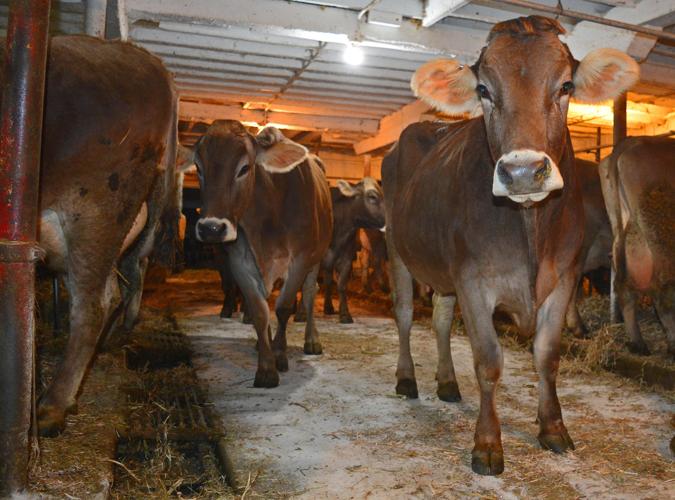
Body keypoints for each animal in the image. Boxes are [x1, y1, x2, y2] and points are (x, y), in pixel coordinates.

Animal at [193, 121, 333, 387]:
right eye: (199, 168)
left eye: (244, 168)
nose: (211, 228)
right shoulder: (240, 261)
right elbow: (259, 311)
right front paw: (266, 367)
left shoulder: (300, 259)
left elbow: (284, 307)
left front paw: (279, 354)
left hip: (317, 256)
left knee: (310, 293)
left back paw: (312, 340)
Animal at [599, 136, 674, 357]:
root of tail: (633, 141)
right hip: (658, 231)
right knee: (663, 291)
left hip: (622, 228)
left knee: (623, 286)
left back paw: (638, 344)